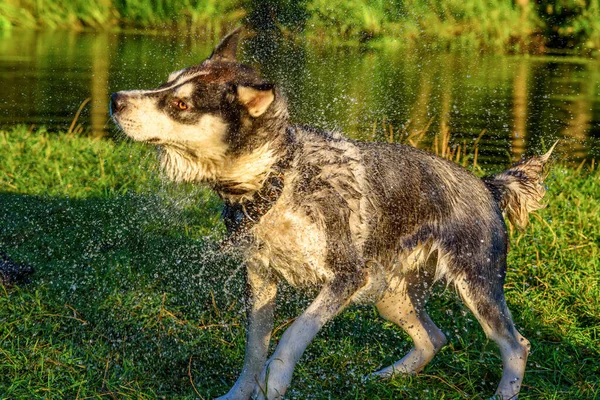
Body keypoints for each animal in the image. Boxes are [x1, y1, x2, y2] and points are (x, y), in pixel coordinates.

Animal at [111, 28, 552, 400]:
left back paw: (503, 392)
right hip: (389, 295)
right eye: (167, 82)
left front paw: (276, 379)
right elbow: (254, 350)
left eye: (181, 103)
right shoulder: (260, 276)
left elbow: (294, 333)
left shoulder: (347, 276)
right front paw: (239, 393)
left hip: (475, 285)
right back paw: (387, 376)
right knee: (434, 338)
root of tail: (487, 185)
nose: (116, 99)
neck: (276, 180)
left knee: (516, 345)